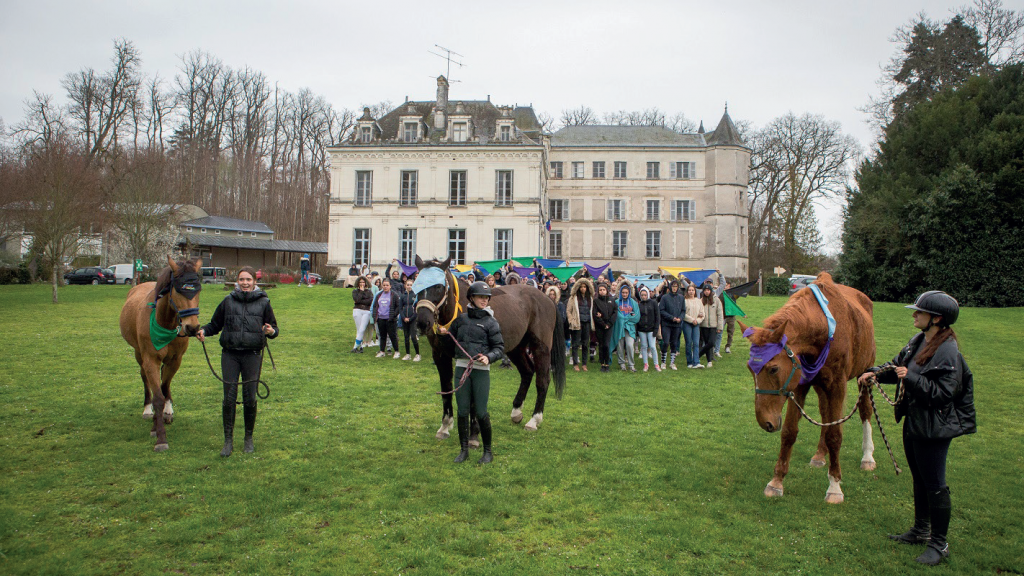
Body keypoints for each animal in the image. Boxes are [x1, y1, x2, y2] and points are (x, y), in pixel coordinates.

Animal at [119, 254, 203, 448]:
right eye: (178, 290)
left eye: (198, 290)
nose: (192, 327)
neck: (165, 322)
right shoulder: (150, 359)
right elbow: (157, 395)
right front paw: (159, 435)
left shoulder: (175, 359)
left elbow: (164, 387)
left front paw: (166, 413)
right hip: (139, 354)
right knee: (145, 379)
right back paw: (147, 410)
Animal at [411, 253, 569, 436]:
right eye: (416, 285)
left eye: (437, 286)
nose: (423, 322)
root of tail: (547, 298)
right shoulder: (440, 355)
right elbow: (446, 388)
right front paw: (445, 425)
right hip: (515, 347)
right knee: (527, 371)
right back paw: (516, 411)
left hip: (541, 347)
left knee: (542, 379)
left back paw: (534, 419)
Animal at [741, 270, 876, 500]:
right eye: (751, 368)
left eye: (773, 369)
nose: (765, 421)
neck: (823, 327)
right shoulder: (799, 385)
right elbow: (789, 432)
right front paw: (777, 481)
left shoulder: (837, 386)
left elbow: (835, 435)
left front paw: (834, 486)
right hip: (820, 385)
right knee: (825, 414)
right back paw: (820, 455)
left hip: (864, 375)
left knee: (865, 411)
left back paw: (867, 456)